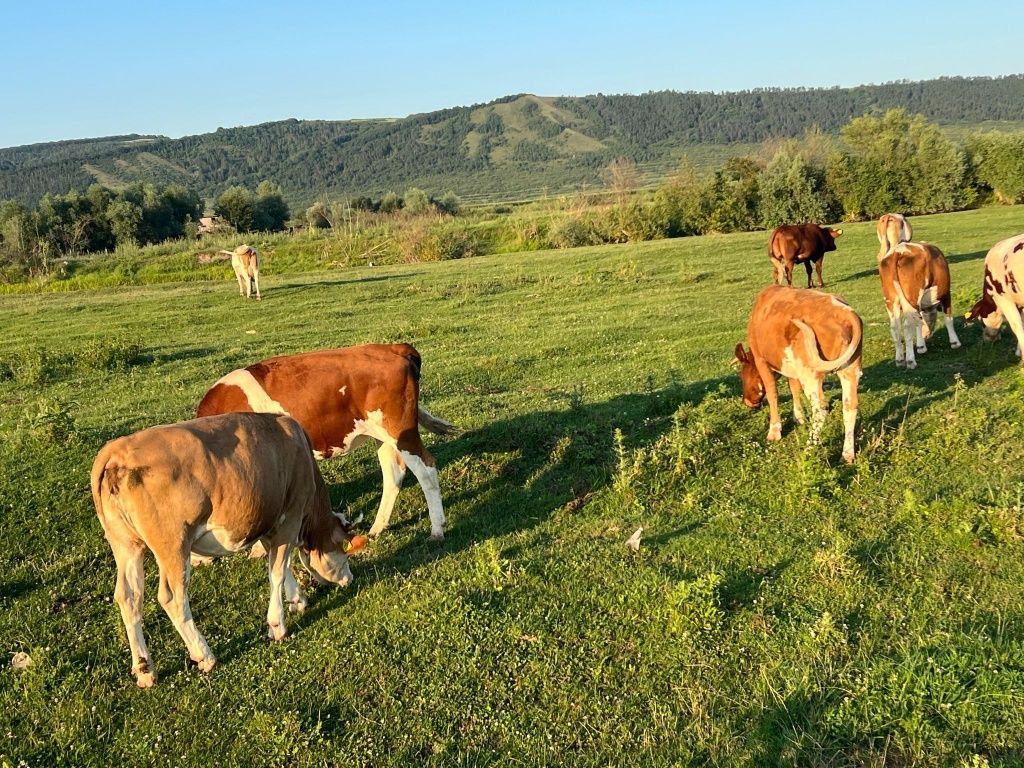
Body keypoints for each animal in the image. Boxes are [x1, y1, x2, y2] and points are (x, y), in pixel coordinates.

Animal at [90, 411, 360, 688]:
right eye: (343, 548)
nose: (349, 578)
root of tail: (116, 450)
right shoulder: (291, 516)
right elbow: (276, 572)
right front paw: (277, 625)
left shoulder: (268, 521)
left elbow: (280, 564)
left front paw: (297, 599)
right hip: (173, 545)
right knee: (173, 598)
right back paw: (204, 655)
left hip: (125, 544)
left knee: (129, 596)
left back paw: (145, 669)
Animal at [199, 342, 456, 540]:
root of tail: (393, 348)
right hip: (384, 435)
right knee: (393, 473)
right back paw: (377, 527)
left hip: (400, 430)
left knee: (426, 469)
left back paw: (437, 529)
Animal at [737, 284, 864, 460]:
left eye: (743, 376)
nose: (747, 402)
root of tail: (845, 311)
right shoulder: (792, 369)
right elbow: (794, 389)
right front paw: (799, 418)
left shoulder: (761, 360)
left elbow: (772, 394)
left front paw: (774, 431)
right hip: (850, 369)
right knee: (850, 406)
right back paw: (847, 454)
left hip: (811, 374)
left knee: (821, 408)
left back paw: (809, 448)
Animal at [880, 241, 958, 370]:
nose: (927, 335)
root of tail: (898, 251)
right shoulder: (946, 295)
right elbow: (948, 319)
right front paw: (955, 342)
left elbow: (919, 322)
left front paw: (921, 346)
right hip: (912, 298)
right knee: (907, 326)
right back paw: (911, 361)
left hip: (891, 300)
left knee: (895, 327)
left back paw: (899, 359)